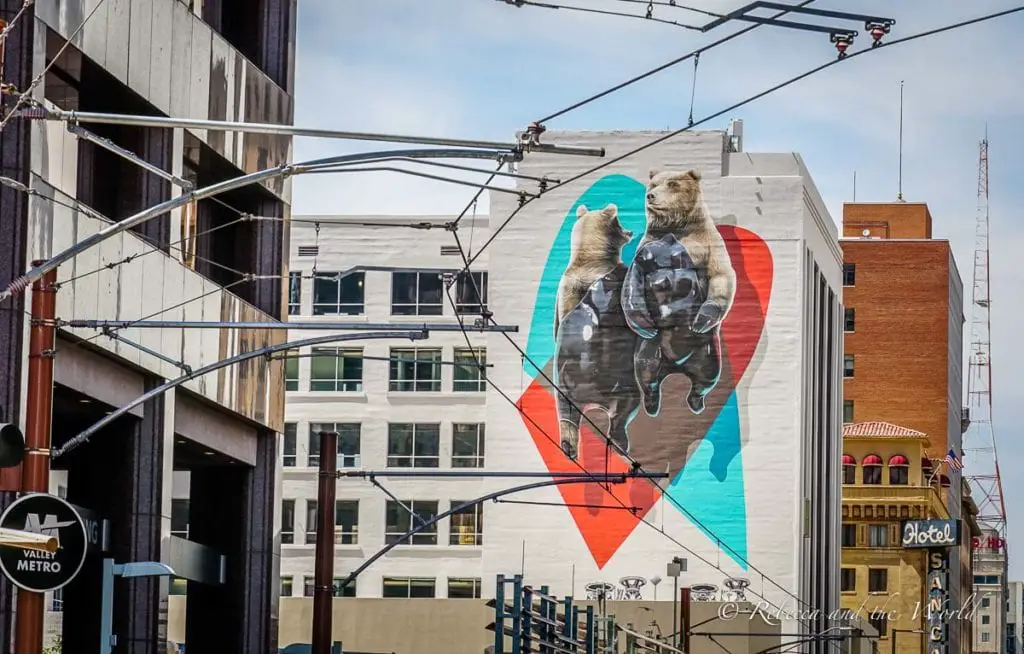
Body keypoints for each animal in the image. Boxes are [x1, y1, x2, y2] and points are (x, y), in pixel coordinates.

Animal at [557, 204, 634, 460]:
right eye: (619, 222)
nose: (631, 230)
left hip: (567, 387)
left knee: (567, 419)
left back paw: (569, 448)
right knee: (621, 412)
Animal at [622, 167, 737, 413]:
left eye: (673, 184)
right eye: (653, 184)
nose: (650, 196)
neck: (675, 226)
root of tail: (676, 367)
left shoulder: (708, 244)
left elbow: (722, 275)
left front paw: (701, 319)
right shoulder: (646, 247)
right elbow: (633, 279)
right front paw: (643, 322)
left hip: (706, 352)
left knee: (706, 377)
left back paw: (696, 401)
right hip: (649, 350)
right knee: (646, 374)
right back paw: (651, 403)